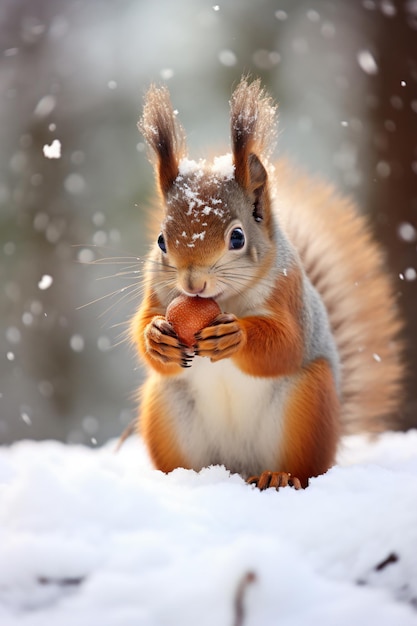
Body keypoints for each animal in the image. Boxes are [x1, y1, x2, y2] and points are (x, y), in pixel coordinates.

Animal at [130, 77, 404, 488]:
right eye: (162, 241)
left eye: (237, 237)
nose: (193, 282)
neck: (223, 300)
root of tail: (239, 467)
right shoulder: (157, 293)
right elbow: (143, 328)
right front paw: (157, 336)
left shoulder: (289, 294)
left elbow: (286, 345)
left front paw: (235, 336)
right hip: (165, 407)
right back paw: (184, 479)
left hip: (307, 406)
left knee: (304, 469)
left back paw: (278, 476)